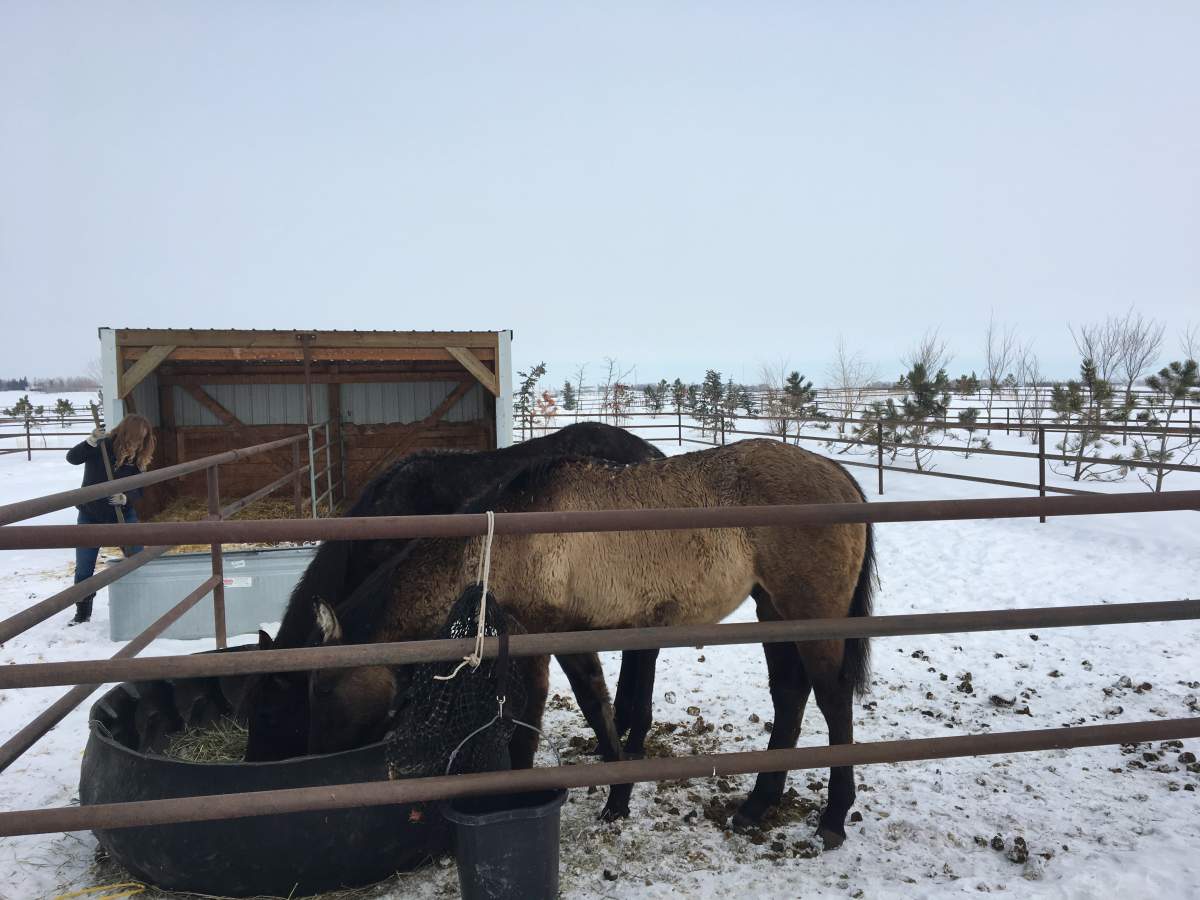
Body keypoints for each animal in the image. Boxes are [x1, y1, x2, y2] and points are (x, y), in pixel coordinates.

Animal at [307, 439, 876, 847]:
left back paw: (832, 817)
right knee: (790, 695)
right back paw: (758, 805)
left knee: (831, 698)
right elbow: (577, 712)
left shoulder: (551, 641)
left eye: (325, 690)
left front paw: (601, 799)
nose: (320, 766)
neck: (499, 545)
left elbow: (564, 715)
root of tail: (840, 476)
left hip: (809, 614)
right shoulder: (552, 642)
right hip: (773, 612)